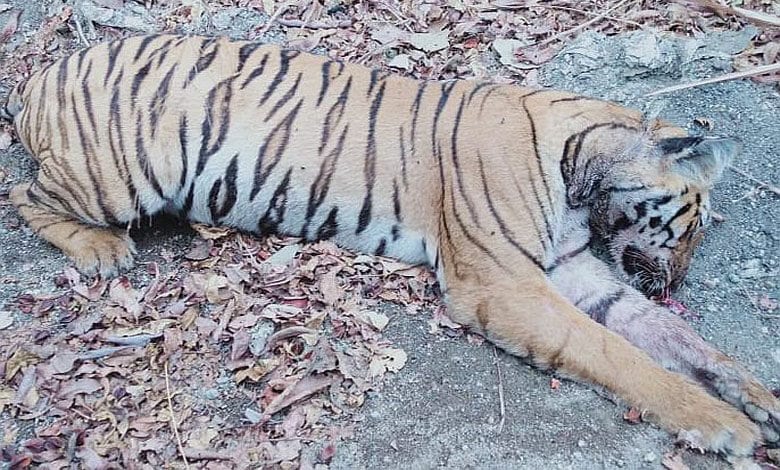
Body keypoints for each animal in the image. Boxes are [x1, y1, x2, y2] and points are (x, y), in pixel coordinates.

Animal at [3, 34, 778, 458]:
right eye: (692, 222)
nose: (675, 286)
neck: (580, 175)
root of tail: (44, 73)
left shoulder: (574, 270)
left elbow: (669, 340)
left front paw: (753, 395)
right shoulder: (503, 283)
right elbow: (618, 355)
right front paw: (722, 424)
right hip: (124, 177)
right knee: (25, 195)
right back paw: (102, 251)